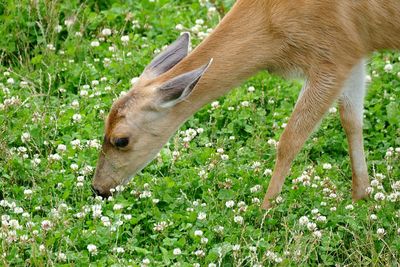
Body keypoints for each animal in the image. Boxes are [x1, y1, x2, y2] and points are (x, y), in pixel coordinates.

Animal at [92, 0, 400, 210]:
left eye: (121, 140)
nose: (98, 188)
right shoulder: (352, 54)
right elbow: (352, 120)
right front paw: (361, 196)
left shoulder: (333, 56)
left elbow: (290, 140)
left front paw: (264, 210)